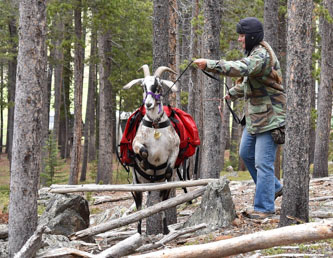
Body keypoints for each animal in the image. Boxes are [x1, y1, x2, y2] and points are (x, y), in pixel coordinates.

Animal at [122, 64, 179, 234]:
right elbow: (144, 152)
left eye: (158, 86)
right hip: (137, 187)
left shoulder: (175, 148)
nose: (148, 104)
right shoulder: (136, 143)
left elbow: (169, 169)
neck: (155, 125)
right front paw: (145, 163)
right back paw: (139, 231)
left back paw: (165, 229)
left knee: (162, 203)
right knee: (139, 208)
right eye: (143, 86)